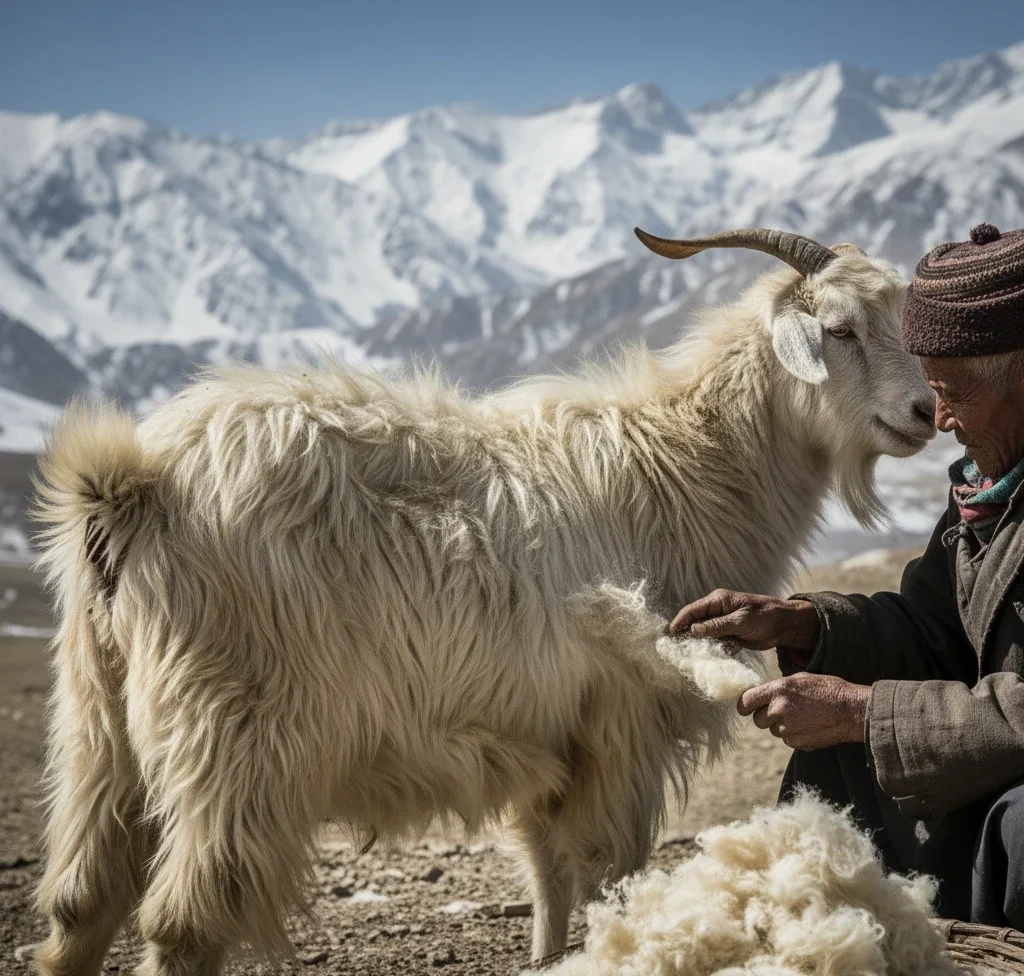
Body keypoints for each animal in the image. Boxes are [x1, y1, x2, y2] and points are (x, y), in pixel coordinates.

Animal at [31, 227, 935, 975]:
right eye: (841, 330)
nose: (925, 411)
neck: (685, 462)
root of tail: (133, 486)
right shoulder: (621, 721)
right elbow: (605, 867)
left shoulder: (550, 728)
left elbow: (546, 871)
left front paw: (546, 958)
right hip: (234, 733)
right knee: (183, 924)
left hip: (98, 719)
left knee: (81, 904)